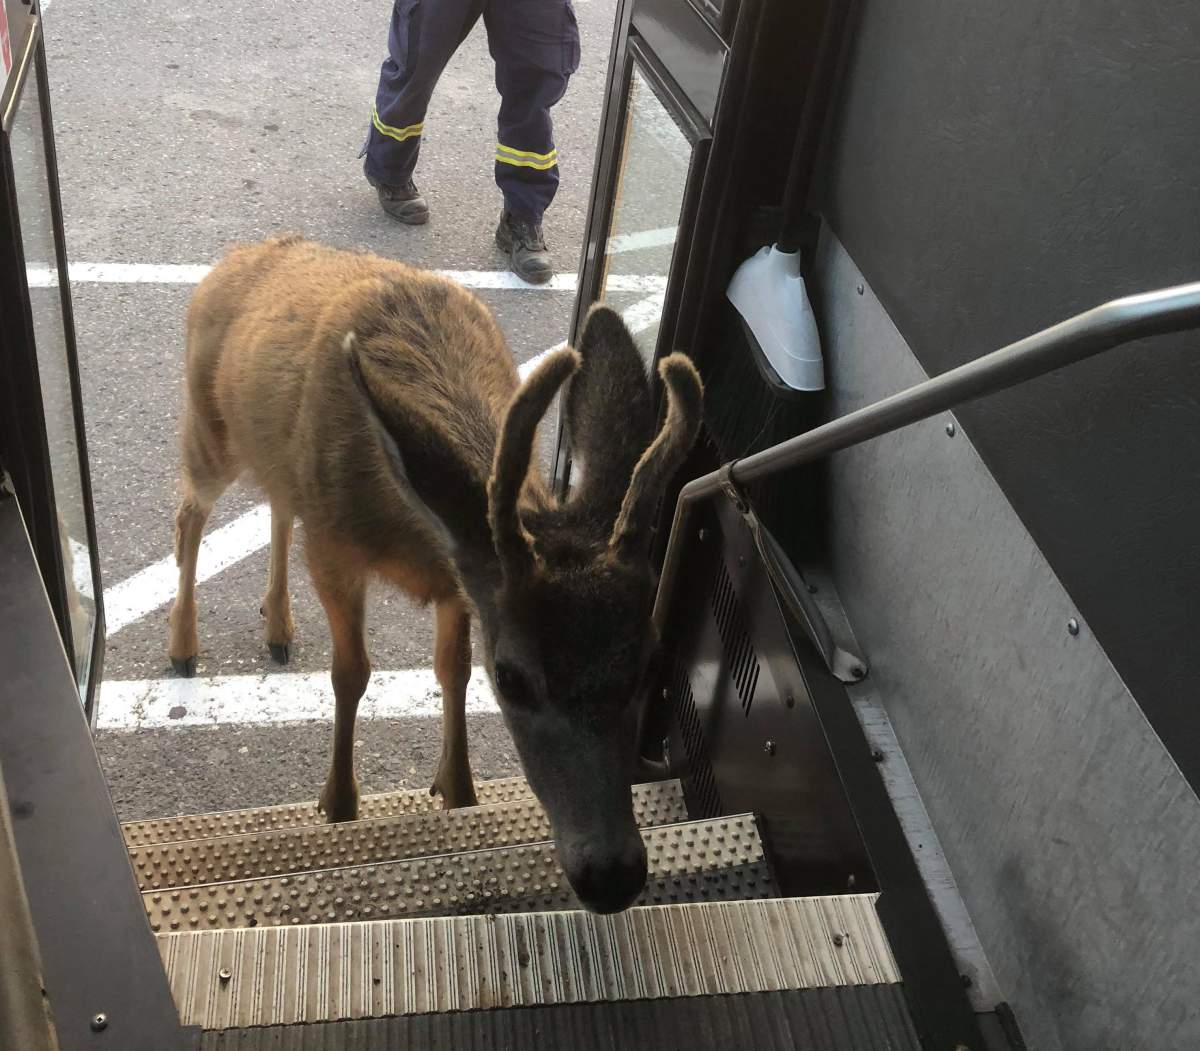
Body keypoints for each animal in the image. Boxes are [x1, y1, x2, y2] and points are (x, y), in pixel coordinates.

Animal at [166, 235, 703, 914]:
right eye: (513, 678)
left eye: (649, 660)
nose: (612, 875)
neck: (406, 524)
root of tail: (235, 258)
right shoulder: (335, 549)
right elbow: (351, 674)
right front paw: (339, 805)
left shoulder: (459, 575)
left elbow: (452, 673)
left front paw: (458, 791)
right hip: (207, 427)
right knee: (190, 512)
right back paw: (183, 645)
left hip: (280, 463)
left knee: (278, 503)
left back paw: (279, 627)